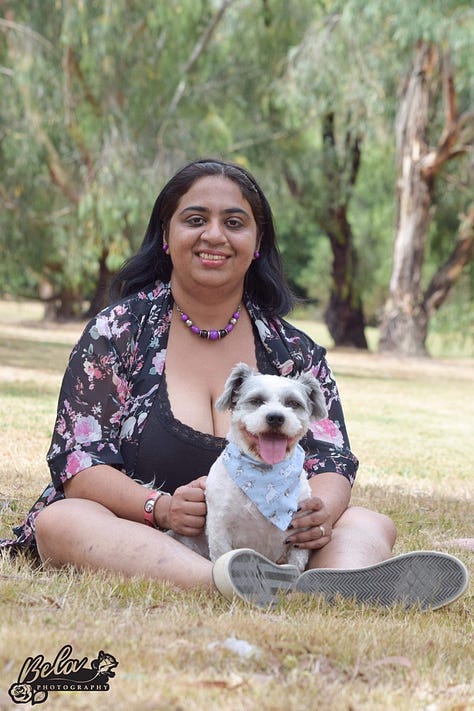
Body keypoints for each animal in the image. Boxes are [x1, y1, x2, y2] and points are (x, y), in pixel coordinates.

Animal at [202, 364, 328, 576]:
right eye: (256, 401)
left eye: (293, 403)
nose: (276, 417)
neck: (266, 475)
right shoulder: (219, 526)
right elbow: (221, 555)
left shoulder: (301, 533)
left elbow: (296, 562)